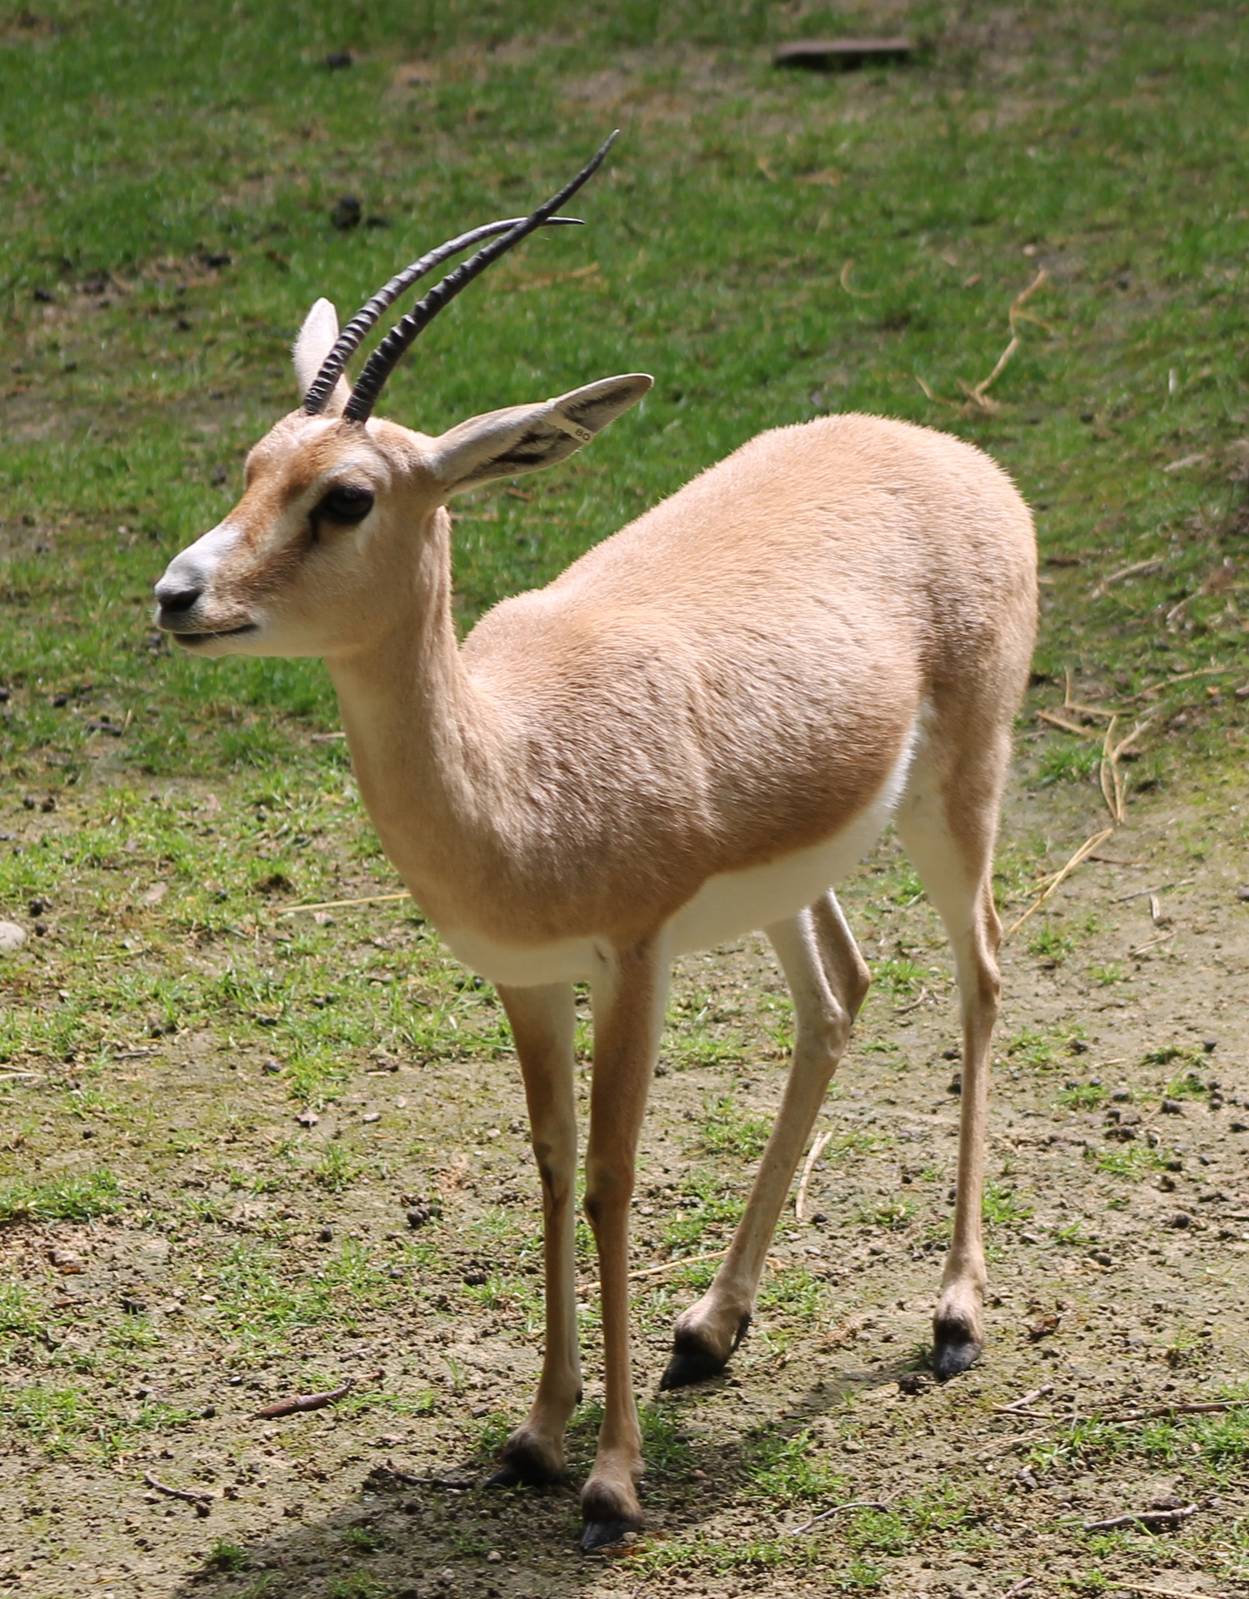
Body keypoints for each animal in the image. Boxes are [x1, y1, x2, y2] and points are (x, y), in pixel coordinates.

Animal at [154, 134, 1037, 1550]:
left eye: (344, 497)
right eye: (250, 466)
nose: (179, 596)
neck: (514, 770)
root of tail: (945, 448)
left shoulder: (634, 961)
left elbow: (615, 1179)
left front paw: (614, 1482)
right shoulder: (526, 979)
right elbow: (551, 1162)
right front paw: (534, 1434)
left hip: (959, 794)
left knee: (983, 973)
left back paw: (954, 1317)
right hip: (793, 877)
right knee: (839, 994)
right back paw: (711, 1331)